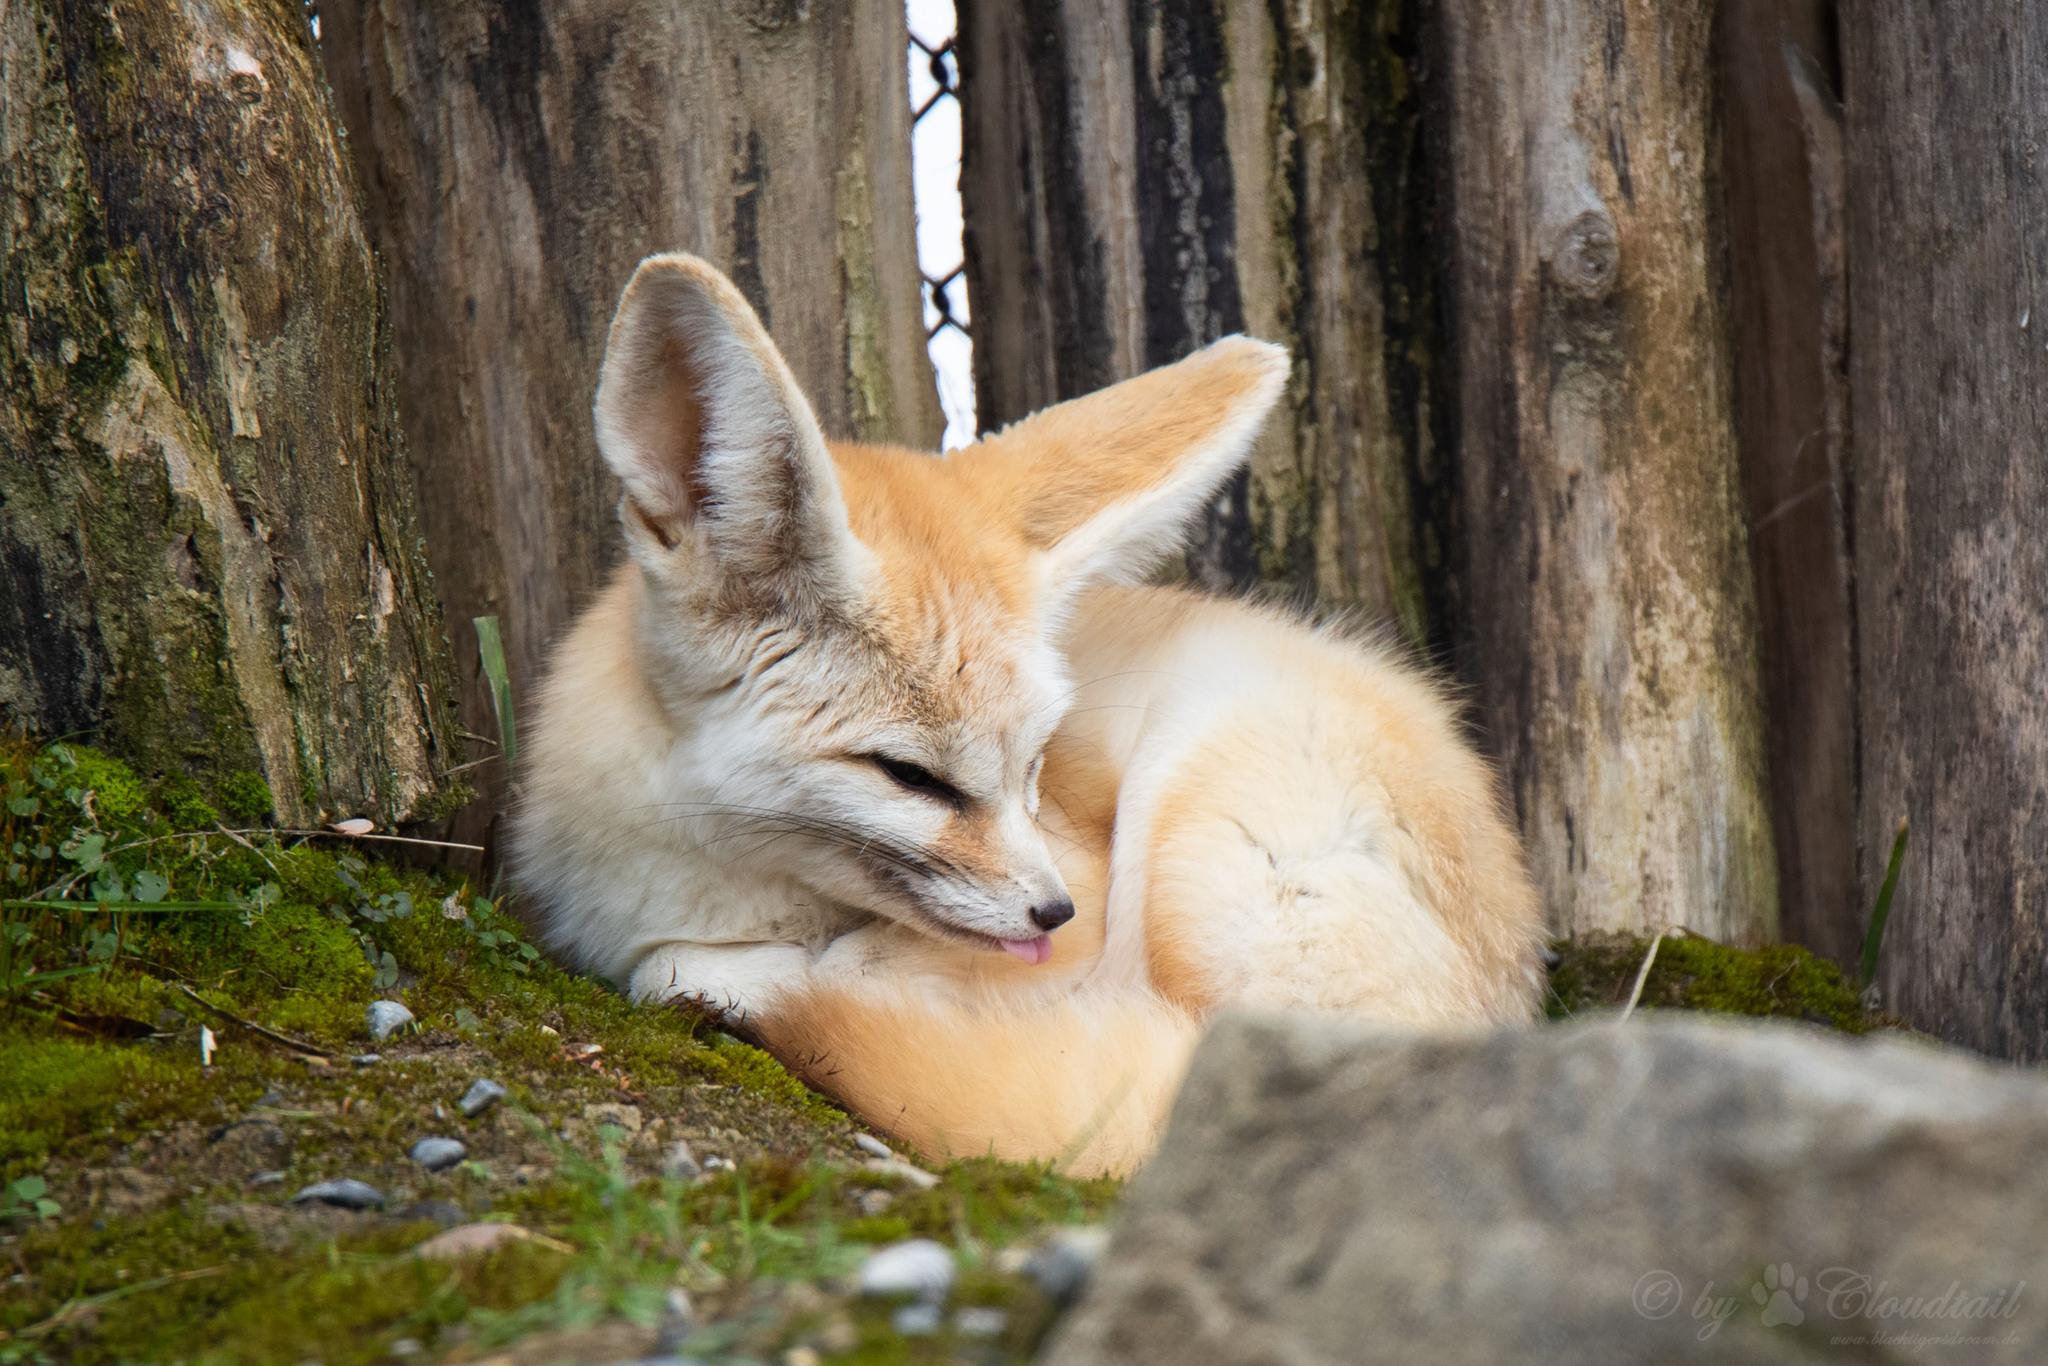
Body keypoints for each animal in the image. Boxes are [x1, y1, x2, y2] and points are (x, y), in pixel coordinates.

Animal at [513, 254, 1546, 1177]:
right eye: (911, 775)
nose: (1055, 910)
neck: (709, 879)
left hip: (1188, 810)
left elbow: (750, 971)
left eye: (1036, 763)